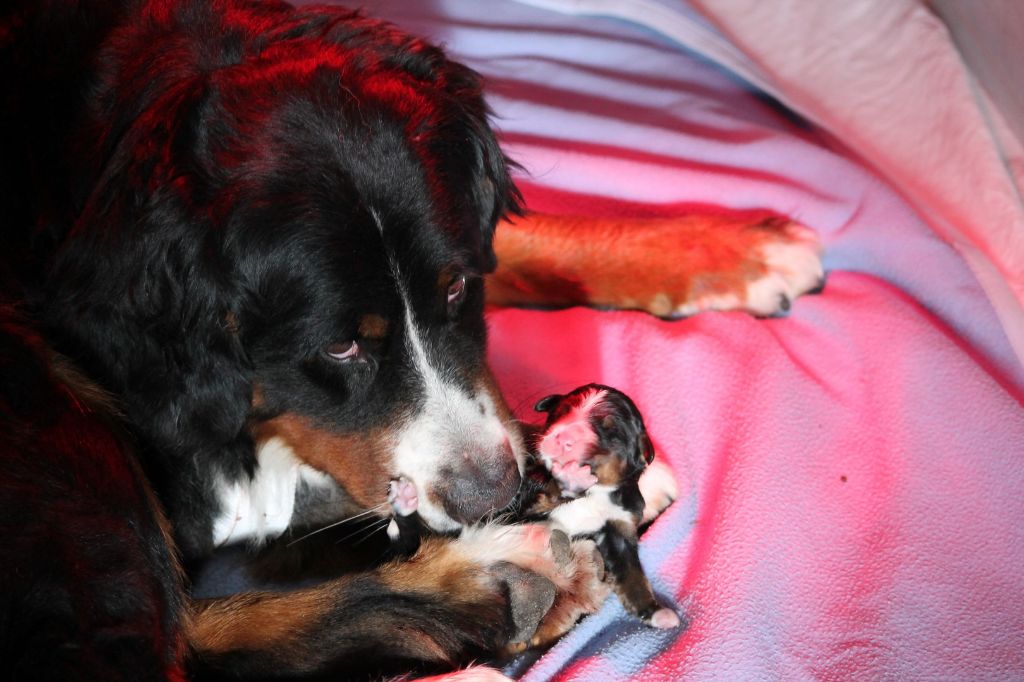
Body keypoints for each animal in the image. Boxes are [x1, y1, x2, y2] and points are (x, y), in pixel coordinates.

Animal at [0, 1, 819, 675]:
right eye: (339, 347)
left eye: (455, 289)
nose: (494, 494)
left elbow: (526, 237)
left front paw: (725, 248)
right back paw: (502, 582)